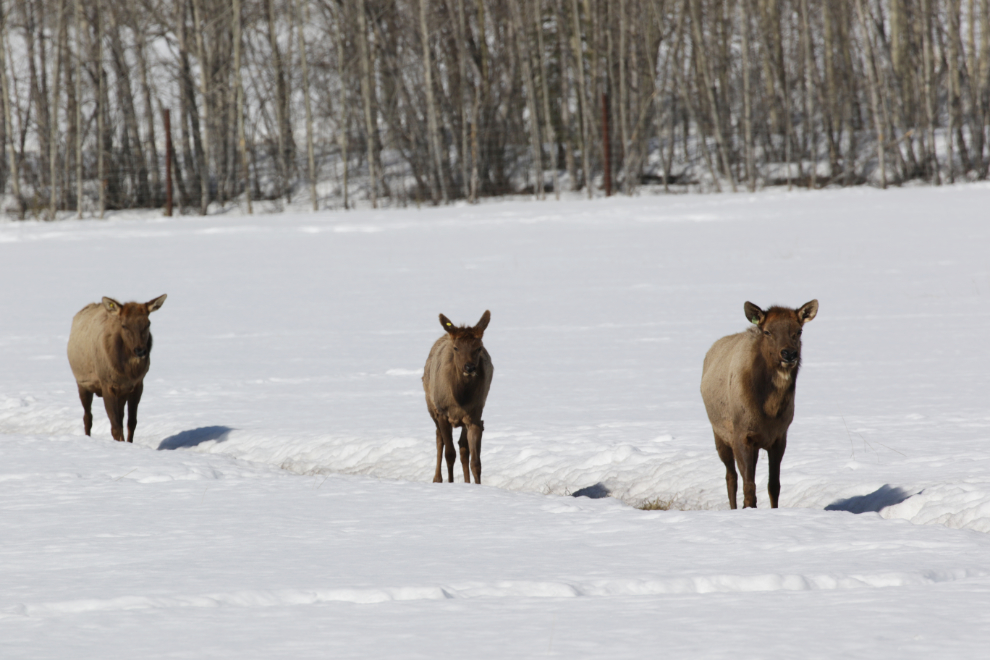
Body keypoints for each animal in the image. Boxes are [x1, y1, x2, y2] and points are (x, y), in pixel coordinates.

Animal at [66, 295, 167, 443]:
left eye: (148, 323)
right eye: (124, 325)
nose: (140, 351)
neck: (126, 372)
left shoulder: (136, 385)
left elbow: (131, 422)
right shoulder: (107, 384)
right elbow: (115, 427)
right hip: (82, 383)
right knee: (87, 417)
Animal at [423, 311, 493, 484]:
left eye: (479, 347)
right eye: (456, 348)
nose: (470, 367)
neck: (461, 398)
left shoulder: (474, 416)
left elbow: (475, 462)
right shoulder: (442, 413)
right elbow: (449, 454)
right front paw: (451, 482)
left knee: (463, 448)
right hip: (432, 408)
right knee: (439, 440)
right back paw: (437, 478)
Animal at [700, 300, 818, 509]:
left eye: (799, 331)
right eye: (767, 332)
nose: (789, 354)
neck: (769, 410)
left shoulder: (779, 437)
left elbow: (774, 485)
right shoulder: (742, 435)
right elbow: (749, 487)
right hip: (720, 435)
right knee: (731, 477)